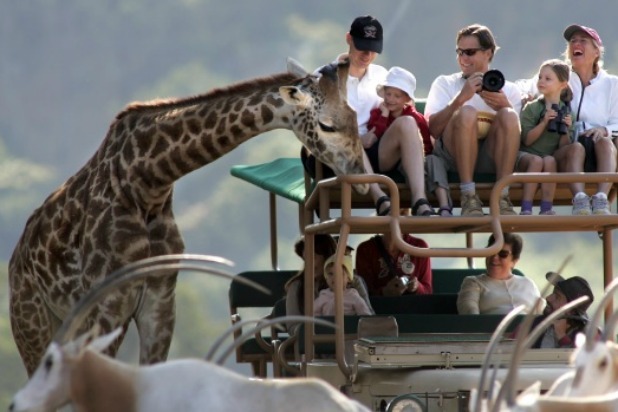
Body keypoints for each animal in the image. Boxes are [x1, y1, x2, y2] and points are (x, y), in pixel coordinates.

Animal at [9, 58, 366, 376]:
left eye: (354, 115)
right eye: (327, 125)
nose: (361, 175)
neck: (147, 183)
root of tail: (14, 263)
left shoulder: (160, 299)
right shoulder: (107, 303)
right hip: (33, 323)